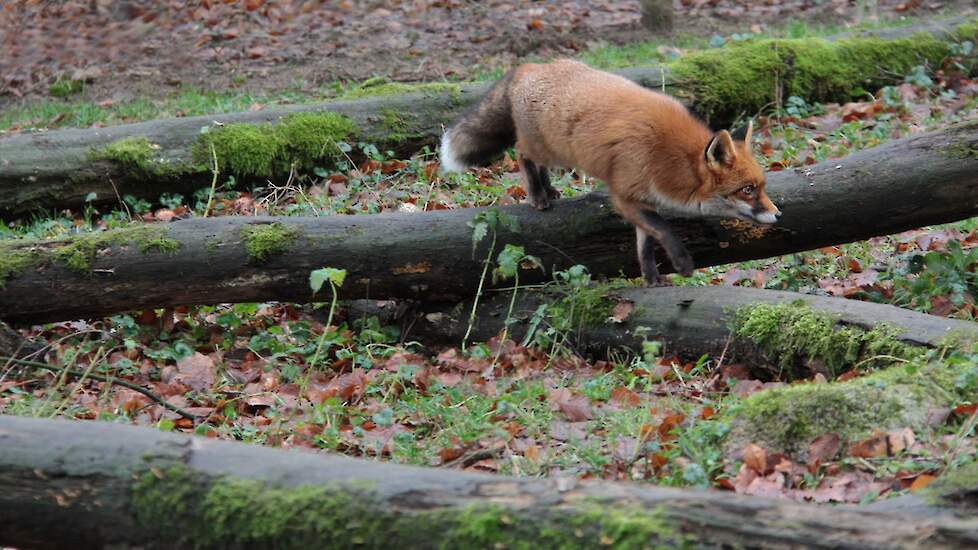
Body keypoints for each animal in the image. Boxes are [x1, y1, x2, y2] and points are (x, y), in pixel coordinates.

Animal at [440, 59, 776, 284]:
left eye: (762, 186)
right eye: (747, 190)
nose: (778, 214)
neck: (670, 158)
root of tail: (529, 66)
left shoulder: (645, 201)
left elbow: (647, 243)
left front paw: (652, 279)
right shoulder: (624, 196)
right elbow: (664, 230)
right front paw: (681, 263)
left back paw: (548, 190)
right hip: (545, 148)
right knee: (522, 153)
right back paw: (537, 195)